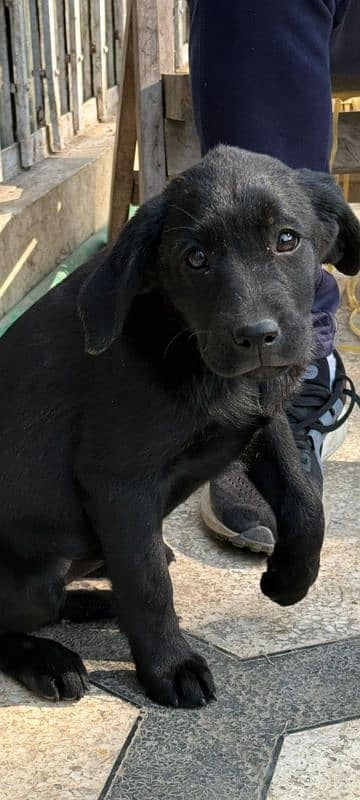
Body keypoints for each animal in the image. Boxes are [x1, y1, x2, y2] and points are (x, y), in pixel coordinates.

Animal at [0, 145, 360, 708]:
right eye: (195, 258)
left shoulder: (261, 422)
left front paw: (290, 580)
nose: (256, 337)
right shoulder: (118, 484)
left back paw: (97, 602)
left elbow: (306, 504)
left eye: (286, 239)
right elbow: (147, 584)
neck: (189, 350)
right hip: (32, 576)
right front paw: (170, 667)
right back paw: (49, 660)